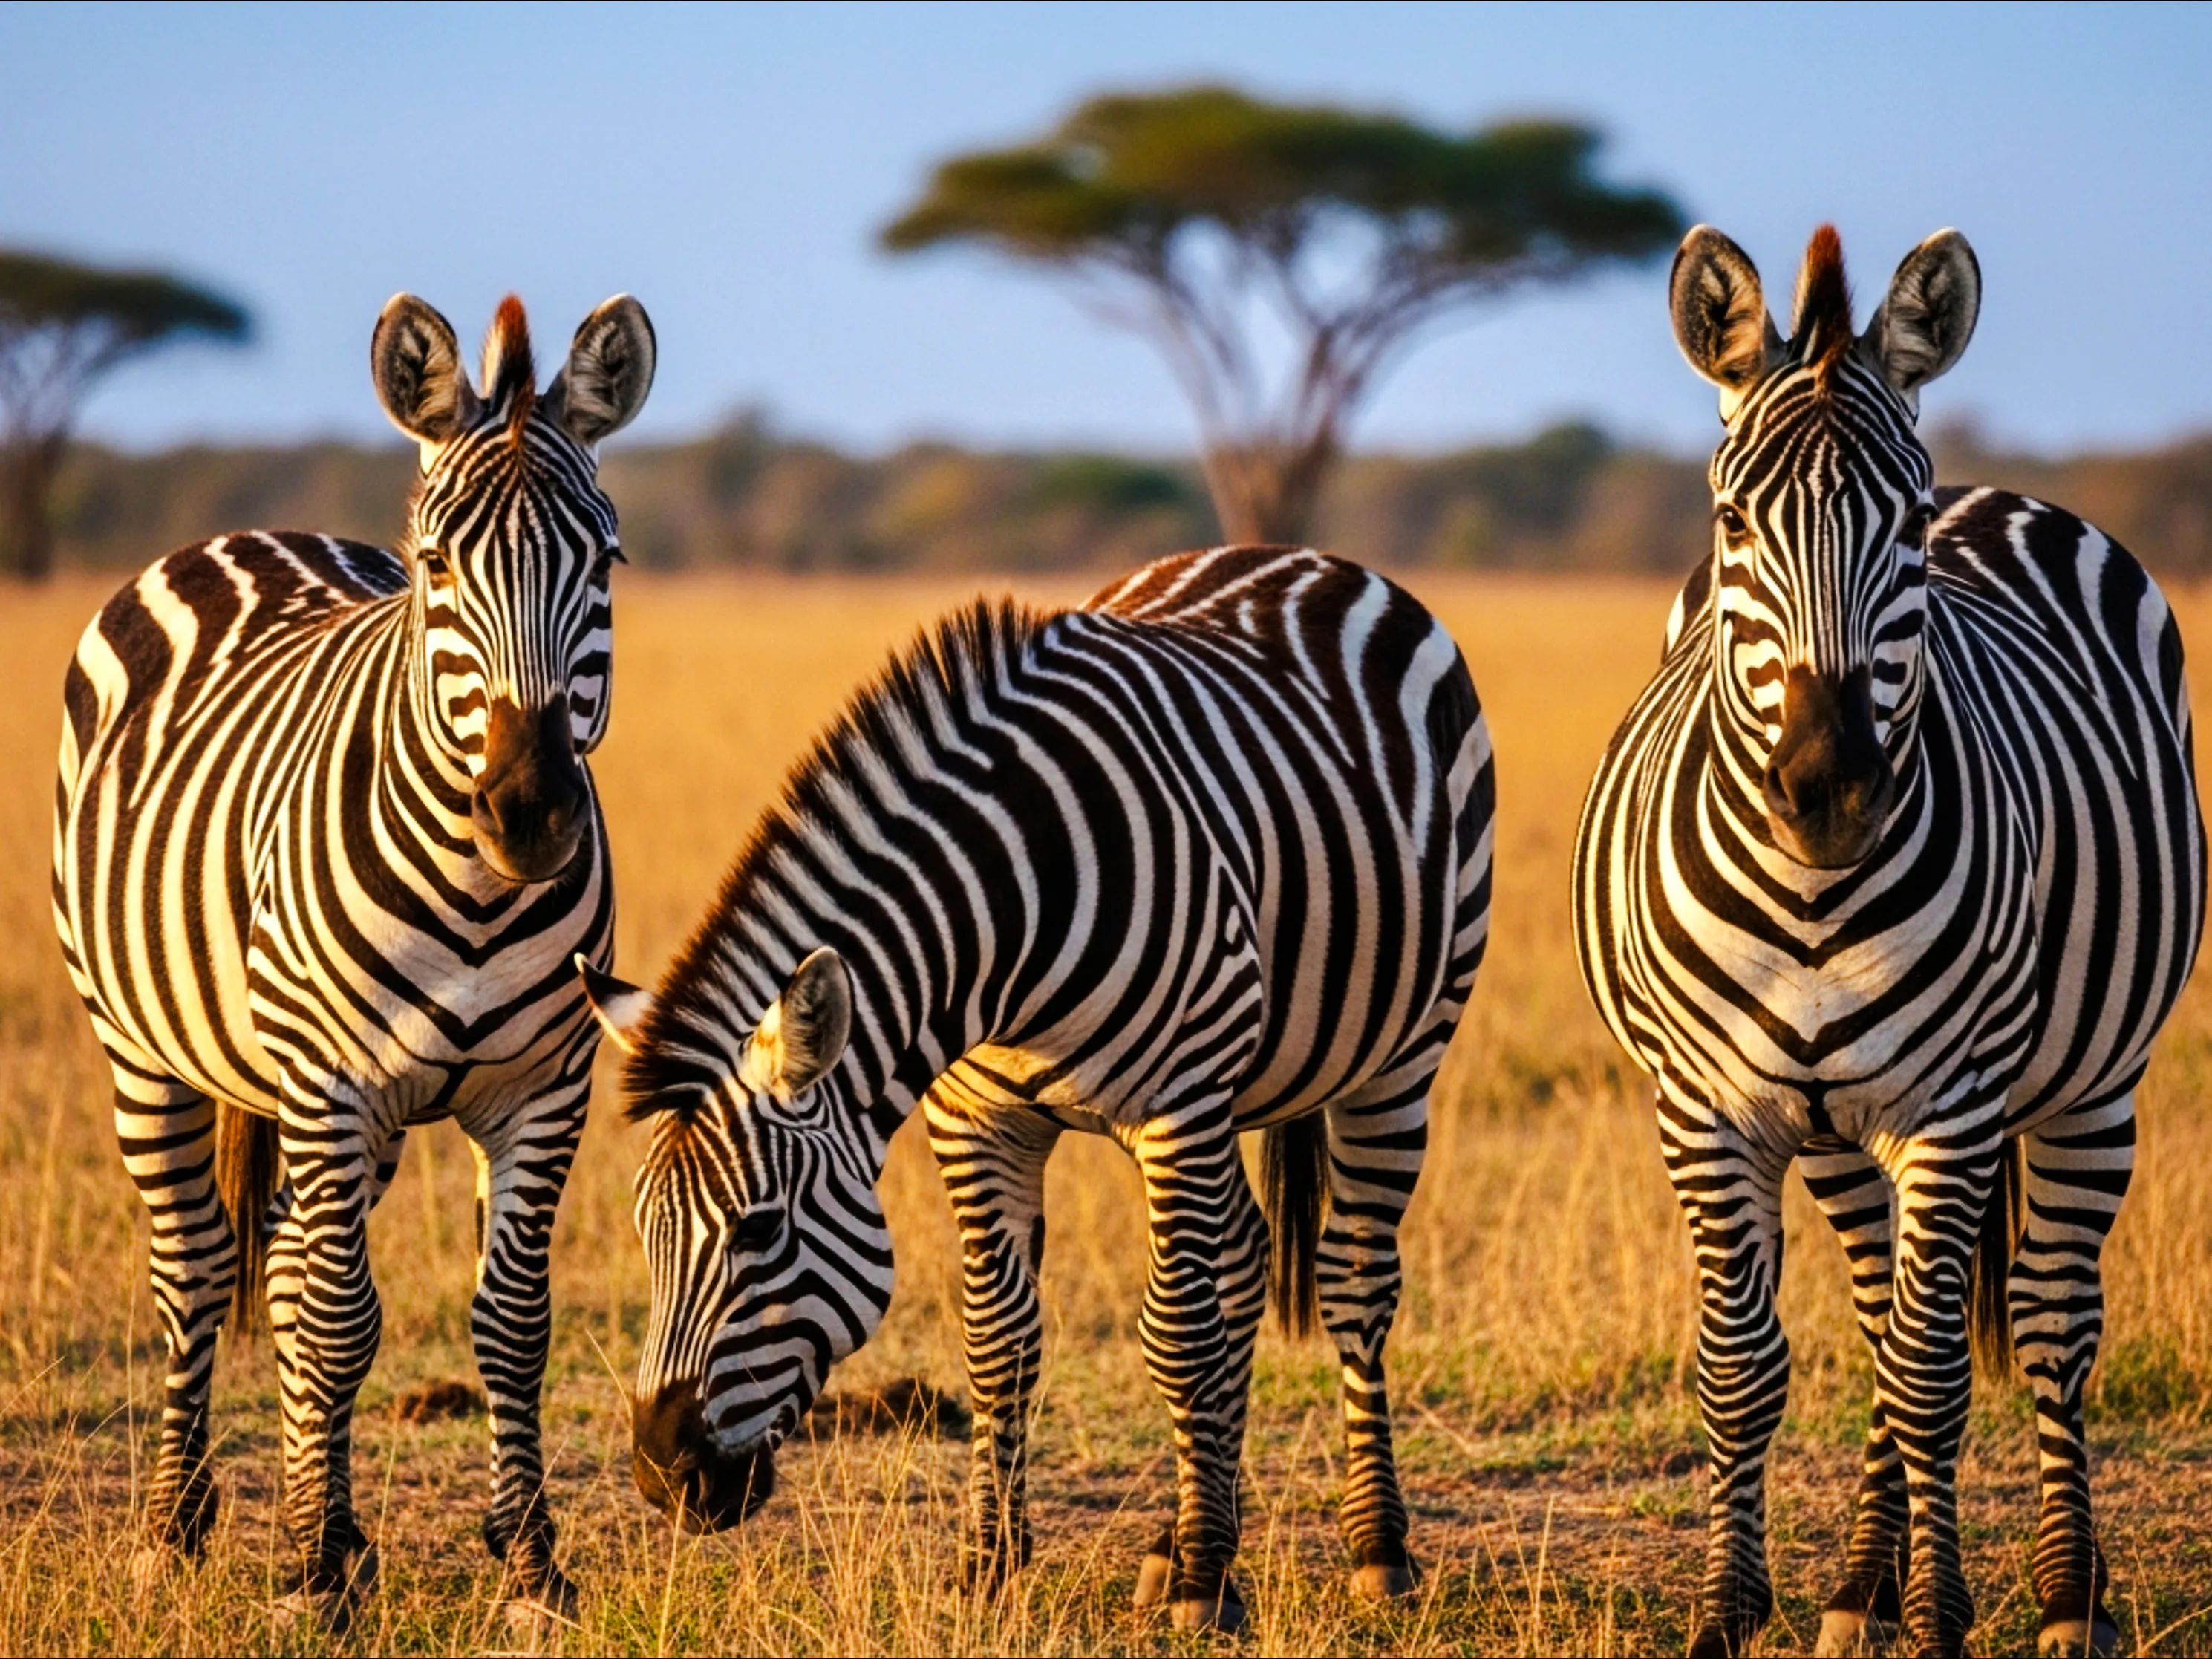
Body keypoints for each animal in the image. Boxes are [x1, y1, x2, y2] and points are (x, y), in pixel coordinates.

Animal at [51, 292, 655, 1624]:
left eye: (604, 561)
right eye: (437, 565)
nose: (529, 813)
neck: (478, 895)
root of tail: (252, 533)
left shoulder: (547, 1087)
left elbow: (509, 1321)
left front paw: (530, 1565)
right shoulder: (330, 1083)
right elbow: (336, 1321)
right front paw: (309, 1577)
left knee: (279, 1271)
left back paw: (324, 1521)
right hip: (143, 1052)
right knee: (198, 1268)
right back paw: (177, 1528)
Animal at [575, 547, 1493, 1631]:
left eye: (761, 1229)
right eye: (643, 1230)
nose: (659, 1476)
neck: (1002, 934)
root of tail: (1305, 558)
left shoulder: (1178, 1105)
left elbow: (1177, 1334)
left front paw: (1197, 1587)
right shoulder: (978, 1117)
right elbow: (997, 1338)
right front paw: (991, 1561)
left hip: (1399, 1054)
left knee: (1350, 1279)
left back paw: (1372, 1547)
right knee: (1241, 1261)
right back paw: (1184, 1535)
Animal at [1573, 223, 2203, 1659]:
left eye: (1902, 528)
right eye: (1729, 521)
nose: (1827, 787)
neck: (1813, 898)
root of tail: (1991, 488)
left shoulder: (1953, 1106)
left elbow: (1930, 1376)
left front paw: (1942, 1617)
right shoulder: (1704, 1109)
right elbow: (1741, 1369)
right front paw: (1727, 1612)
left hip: (2092, 1084)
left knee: (2048, 1324)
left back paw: (2063, 1594)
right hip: (1831, 1128)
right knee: (1874, 1311)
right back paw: (1856, 1584)